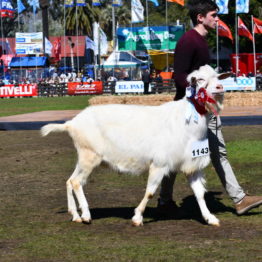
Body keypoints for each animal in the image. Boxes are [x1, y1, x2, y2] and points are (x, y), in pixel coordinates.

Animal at [40, 64, 229, 226]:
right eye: (200, 80)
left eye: (217, 76)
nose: (220, 88)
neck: (186, 119)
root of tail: (72, 123)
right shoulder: (159, 164)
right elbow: (150, 191)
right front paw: (137, 217)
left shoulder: (191, 164)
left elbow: (200, 193)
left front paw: (210, 218)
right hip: (89, 156)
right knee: (77, 182)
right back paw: (86, 215)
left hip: (84, 157)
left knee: (69, 181)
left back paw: (75, 214)